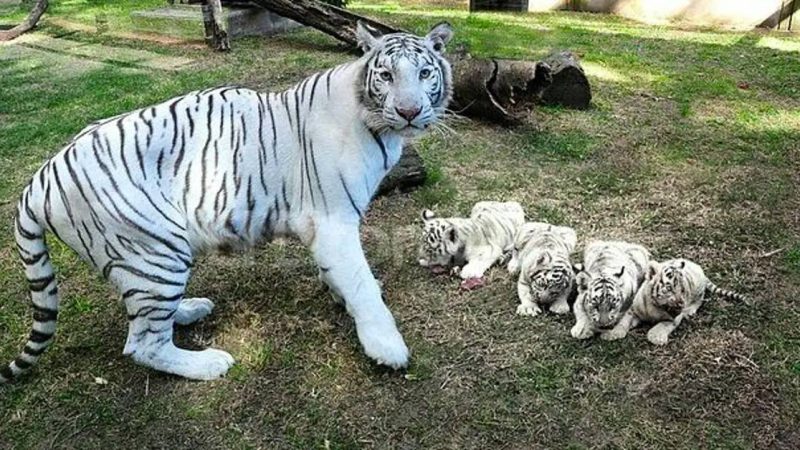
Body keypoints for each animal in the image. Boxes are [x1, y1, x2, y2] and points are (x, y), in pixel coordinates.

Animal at [0, 22, 454, 384]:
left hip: (137, 260)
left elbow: (345, 277)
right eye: (386, 76)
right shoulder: (333, 221)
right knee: (142, 344)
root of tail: (41, 177)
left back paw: (189, 309)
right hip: (157, 250)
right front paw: (386, 346)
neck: (376, 122)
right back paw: (209, 363)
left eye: (424, 72)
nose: (409, 111)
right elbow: (361, 283)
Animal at [604, 258, 748, 346]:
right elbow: (623, 321)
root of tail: (699, 268)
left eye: (682, 290)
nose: (681, 304)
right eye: (669, 288)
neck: (655, 306)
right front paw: (612, 334)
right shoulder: (633, 310)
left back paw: (690, 311)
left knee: (699, 300)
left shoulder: (674, 317)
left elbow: (663, 324)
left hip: (698, 291)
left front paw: (656, 337)